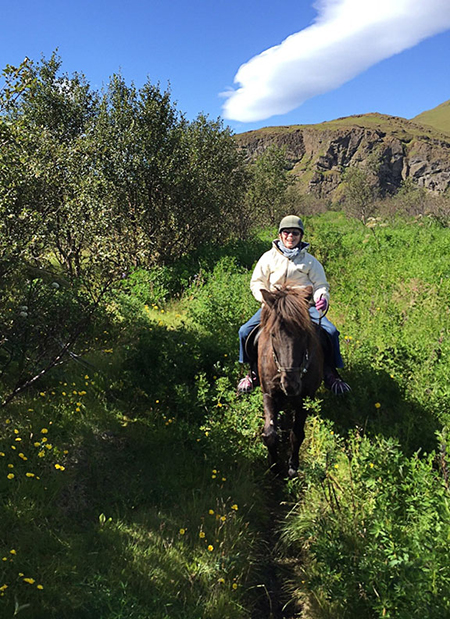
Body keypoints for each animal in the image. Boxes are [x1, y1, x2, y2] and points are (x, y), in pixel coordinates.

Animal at [256, 284, 324, 478]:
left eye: (304, 333)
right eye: (273, 334)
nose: (290, 385)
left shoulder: (305, 399)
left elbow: (297, 434)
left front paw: (293, 466)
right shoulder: (268, 394)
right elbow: (270, 435)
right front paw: (274, 466)